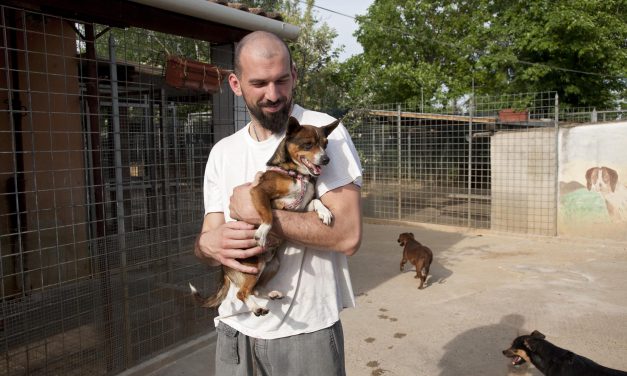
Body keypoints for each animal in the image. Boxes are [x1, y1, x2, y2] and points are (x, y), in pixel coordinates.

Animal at [190, 116, 338, 316]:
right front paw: (263, 231)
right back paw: (256, 307)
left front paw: (324, 212)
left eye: (325, 144)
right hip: (252, 266)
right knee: (242, 293)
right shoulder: (259, 193)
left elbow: (315, 201)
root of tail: (224, 269)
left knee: (255, 289)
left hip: (272, 265)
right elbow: (268, 215)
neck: (296, 175)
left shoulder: (299, 208)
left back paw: (271, 295)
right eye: (308, 144)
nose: (326, 159)